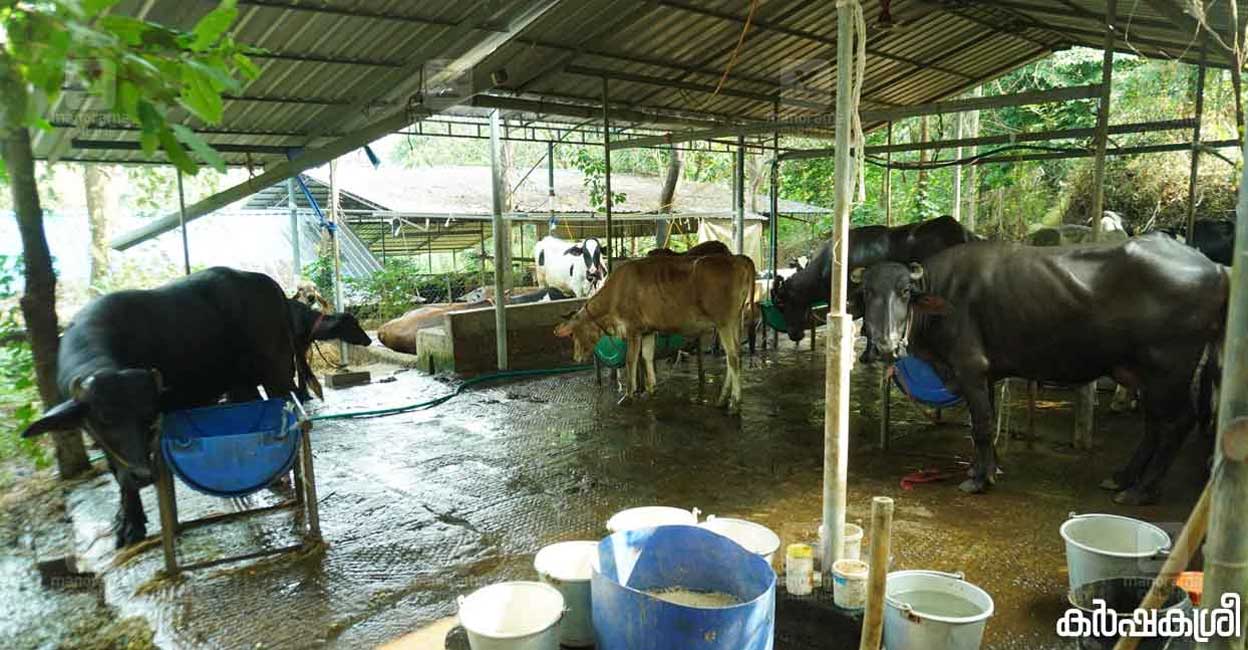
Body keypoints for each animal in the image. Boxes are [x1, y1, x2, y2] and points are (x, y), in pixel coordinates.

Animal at [21, 265, 307, 543]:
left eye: (148, 417)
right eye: (104, 419)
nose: (143, 475)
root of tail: (268, 284)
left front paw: (132, 524)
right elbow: (116, 472)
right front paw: (126, 519)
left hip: (277, 370)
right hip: (241, 383)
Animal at [559, 253, 753, 411]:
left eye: (572, 334)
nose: (575, 358)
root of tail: (737, 258)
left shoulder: (633, 329)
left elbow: (631, 360)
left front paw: (628, 396)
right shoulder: (648, 331)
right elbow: (647, 357)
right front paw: (651, 389)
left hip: (724, 322)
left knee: (733, 357)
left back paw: (734, 402)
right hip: (736, 320)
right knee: (735, 355)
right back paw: (722, 400)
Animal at [858, 235, 1228, 504]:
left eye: (905, 292)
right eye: (866, 292)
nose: (885, 346)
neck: (941, 300)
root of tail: (1216, 268)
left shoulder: (970, 368)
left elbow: (981, 425)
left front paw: (978, 479)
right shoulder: (985, 376)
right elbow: (986, 422)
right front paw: (989, 469)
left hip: (1168, 369)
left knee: (1178, 422)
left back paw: (1141, 490)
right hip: (1143, 373)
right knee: (1154, 423)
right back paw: (1122, 478)